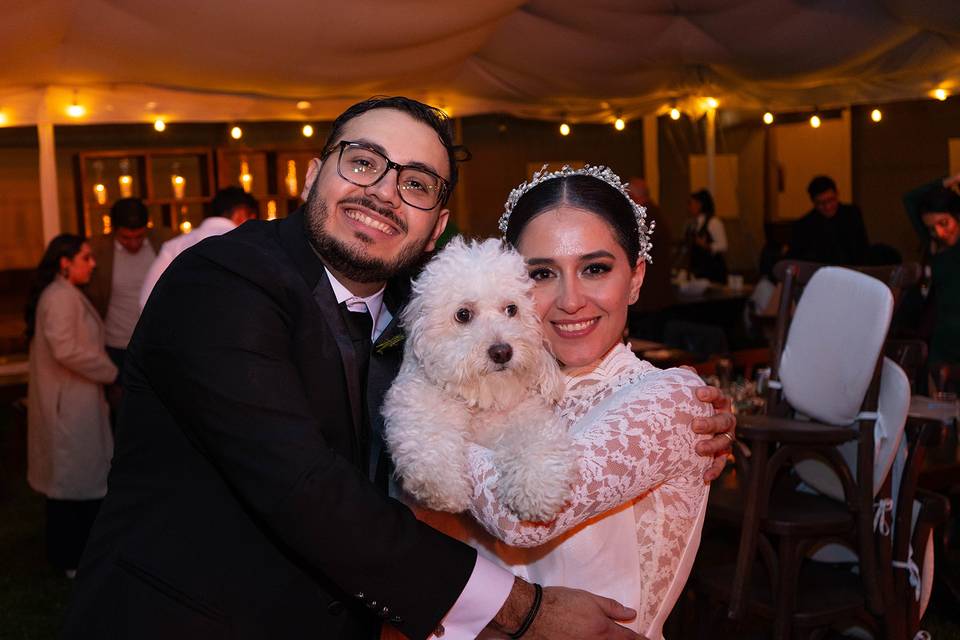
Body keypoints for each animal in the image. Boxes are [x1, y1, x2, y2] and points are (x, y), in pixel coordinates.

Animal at [382, 235, 576, 520]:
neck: (483, 400)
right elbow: (429, 438)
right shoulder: (418, 406)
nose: (502, 351)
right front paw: (445, 487)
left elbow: (537, 441)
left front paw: (537, 487)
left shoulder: (528, 418)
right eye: (463, 314)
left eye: (511, 309)